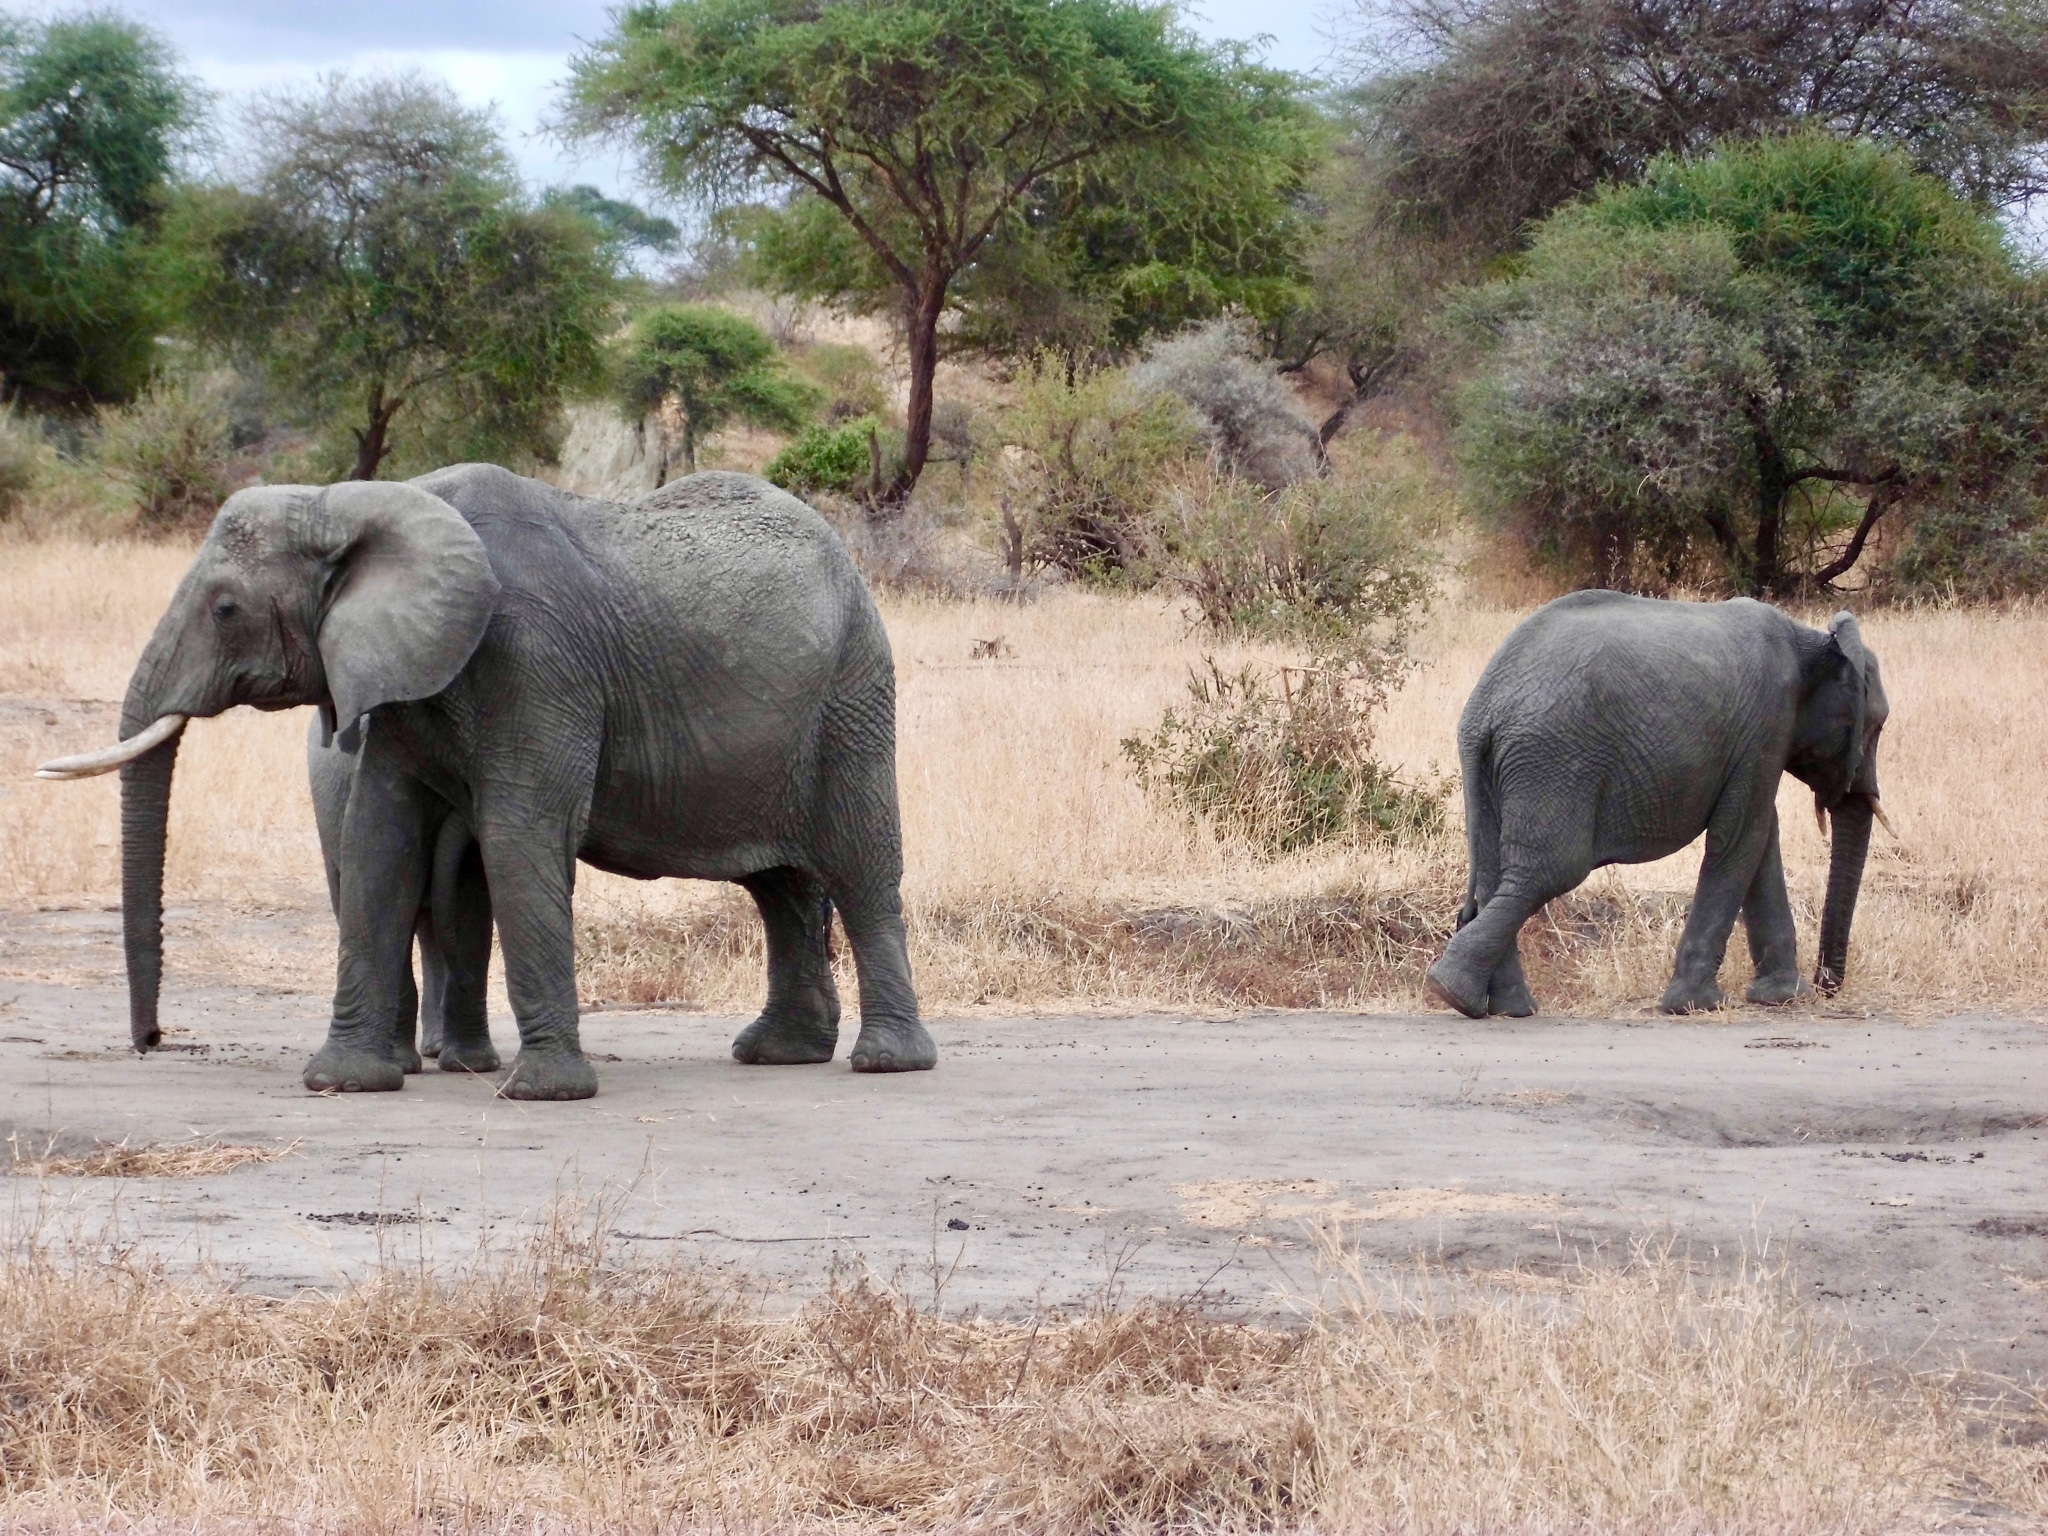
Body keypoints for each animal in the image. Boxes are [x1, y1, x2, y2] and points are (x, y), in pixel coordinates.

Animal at [1425, 593, 1884, 1024]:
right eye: (1876, 726)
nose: (1828, 986)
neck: (1814, 641)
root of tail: (1485, 708)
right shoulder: (1769, 722)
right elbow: (1741, 838)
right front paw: (1699, 1005)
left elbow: (1760, 838)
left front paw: (1784, 997)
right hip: (1552, 760)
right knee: (1546, 872)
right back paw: (1454, 991)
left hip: (1493, 769)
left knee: (1495, 876)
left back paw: (1498, 1005)